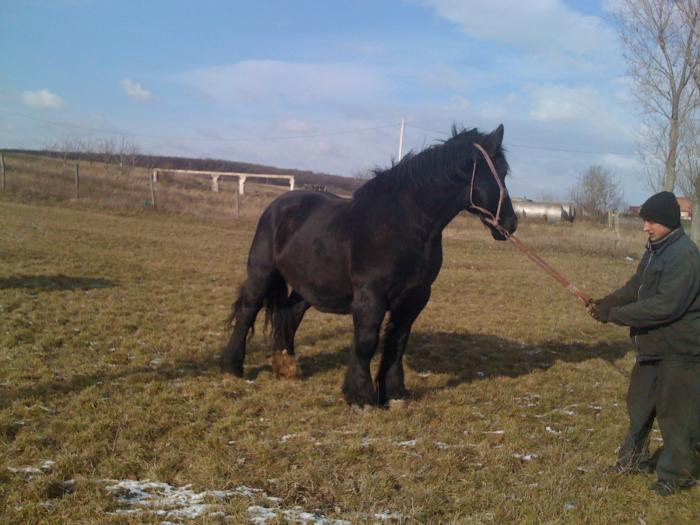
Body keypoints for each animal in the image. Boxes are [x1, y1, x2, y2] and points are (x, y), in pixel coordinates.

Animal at [221, 124, 516, 406]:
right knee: (247, 311)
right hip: (262, 273)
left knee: (290, 315)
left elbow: (397, 342)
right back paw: (232, 367)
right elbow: (366, 341)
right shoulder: (371, 294)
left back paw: (287, 368)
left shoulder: (415, 296)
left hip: (310, 286)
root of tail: (278, 205)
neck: (405, 224)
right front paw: (361, 395)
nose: (511, 224)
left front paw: (394, 393)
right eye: (500, 172)